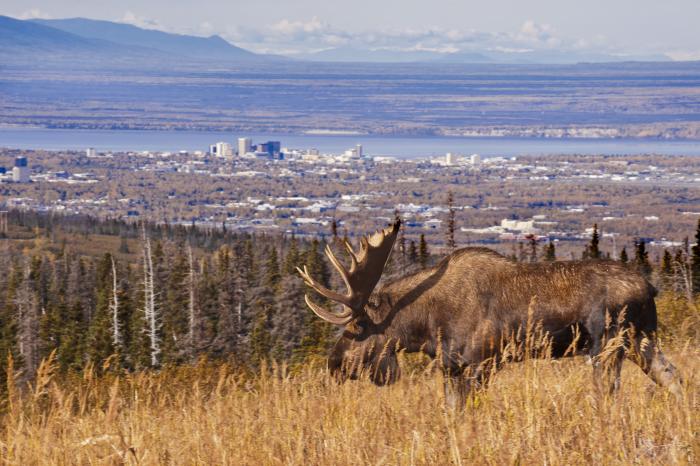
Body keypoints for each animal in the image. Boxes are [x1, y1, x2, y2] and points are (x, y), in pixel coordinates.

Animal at [298, 220, 682, 408]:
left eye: (358, 326)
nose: (334, 363)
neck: (426, 325)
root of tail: (650, 288)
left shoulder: (480, 364)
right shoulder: (452, 368)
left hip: (608, 347)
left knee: (612, 394)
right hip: (641, 340)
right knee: (672, 376)